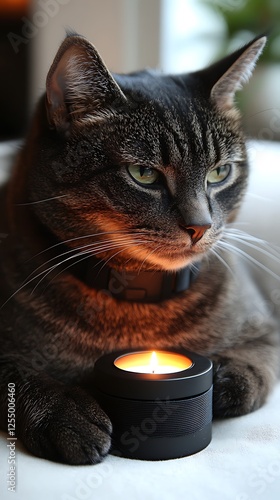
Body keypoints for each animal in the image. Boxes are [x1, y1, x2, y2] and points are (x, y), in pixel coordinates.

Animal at [0, 34, 278, 464]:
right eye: (143, 174)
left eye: (219, 172)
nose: (201, 226)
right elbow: (17, 372)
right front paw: (64, 410)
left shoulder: (266, 328)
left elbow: (256, 364)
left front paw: (228, 376)